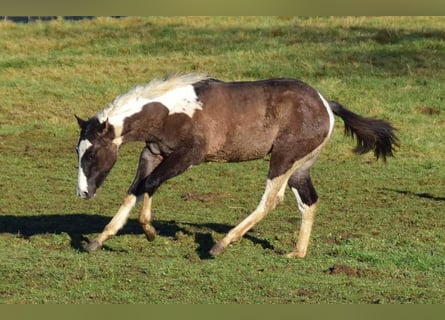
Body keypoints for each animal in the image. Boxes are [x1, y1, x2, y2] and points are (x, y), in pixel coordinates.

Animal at [74, 73, 398, 258]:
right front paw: (98, 240)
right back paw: (297, 253)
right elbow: (134, 191)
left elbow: (150, 184)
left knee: (272, 200)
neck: (170, 111)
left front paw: (149, 230)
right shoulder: (152, 154)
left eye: (91, 155)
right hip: (300, 167)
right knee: (308, 201)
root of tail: (325, 104)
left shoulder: (188, 157)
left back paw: (221, 244)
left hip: (283, 159)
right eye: (78, 151)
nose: (83, 193)